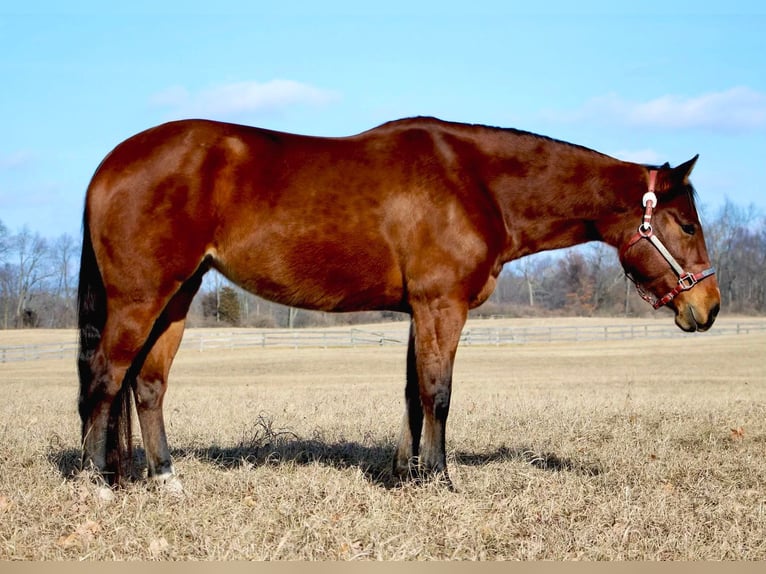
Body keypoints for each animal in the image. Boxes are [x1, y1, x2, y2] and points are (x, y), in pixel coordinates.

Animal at [75, 116, 724, 490]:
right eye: (687, 224)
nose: (709, 307)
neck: (477, 182)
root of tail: (110, 164)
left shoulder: (421, 310)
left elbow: (414, 392)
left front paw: (406, 476)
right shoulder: (442, 305)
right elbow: (438, 392)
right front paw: (439, 480)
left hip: (178, 295)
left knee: (148, 385)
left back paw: (166, 479)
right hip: (140, 298)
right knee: (105, 377)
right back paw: (101, 481)